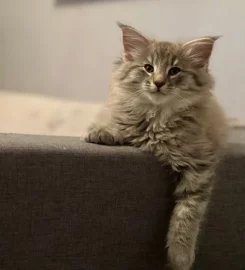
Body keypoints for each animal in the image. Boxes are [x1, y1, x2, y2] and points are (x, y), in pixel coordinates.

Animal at [84, 23, 228, 270]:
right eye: (148, 68)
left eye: (174, 71)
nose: (159, 82)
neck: (157, 119)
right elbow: (118, 128)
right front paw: (102, 132)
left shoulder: (200, 164)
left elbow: (188, 212)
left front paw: (180, 256)